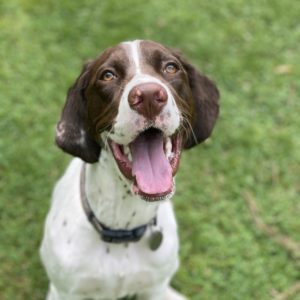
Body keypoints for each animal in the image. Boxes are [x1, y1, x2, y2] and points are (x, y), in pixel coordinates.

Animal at [40, 40, 218, 300]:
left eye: (171, 67)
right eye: (107, 75)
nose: (149, 96)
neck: (122, 227)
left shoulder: (154, 288)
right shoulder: (66, 291)